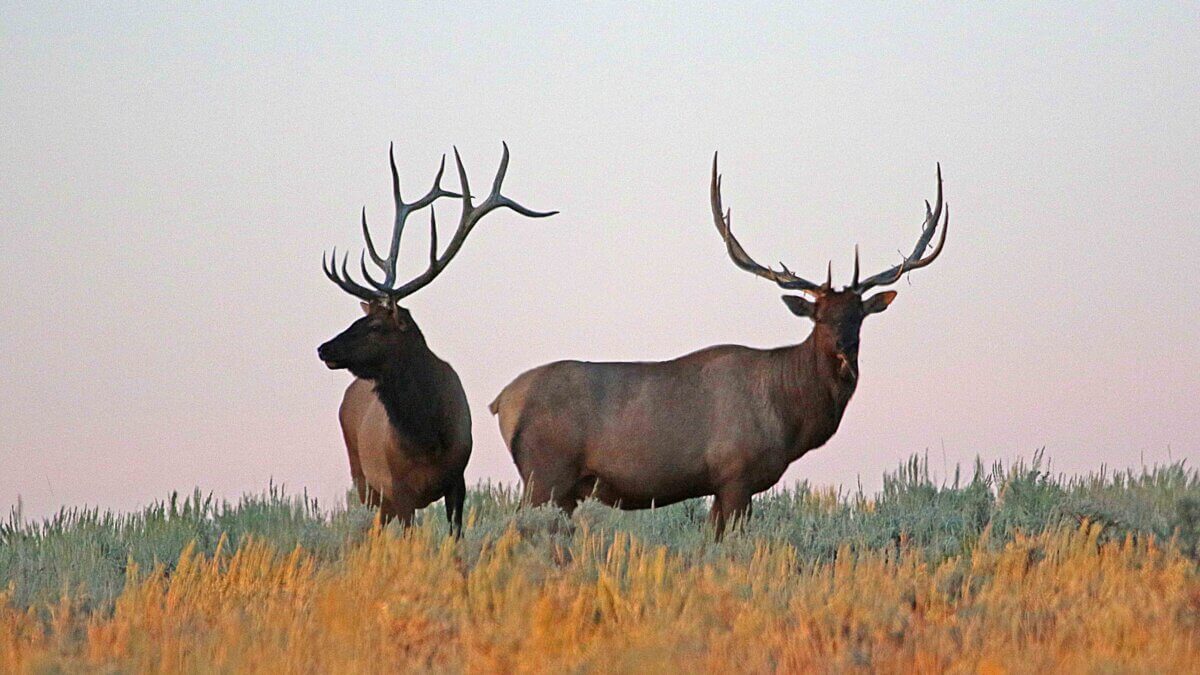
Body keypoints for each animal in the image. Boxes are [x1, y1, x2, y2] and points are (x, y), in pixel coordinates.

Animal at [318, 143, 555, 533]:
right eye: (360, 318)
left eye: (375, 326)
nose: (323, 348)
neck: (426, 440)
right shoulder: (398, 490)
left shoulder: (457, 479)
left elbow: (454, 535)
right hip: (363, 478)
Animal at [490, 153, 949, 538]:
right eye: (819, 316)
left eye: (859, 314)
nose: (843, 345)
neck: (789, 413)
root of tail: (501, 401)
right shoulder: (735, 473)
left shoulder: (721, 484)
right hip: (546, 473)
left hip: (559, 486)